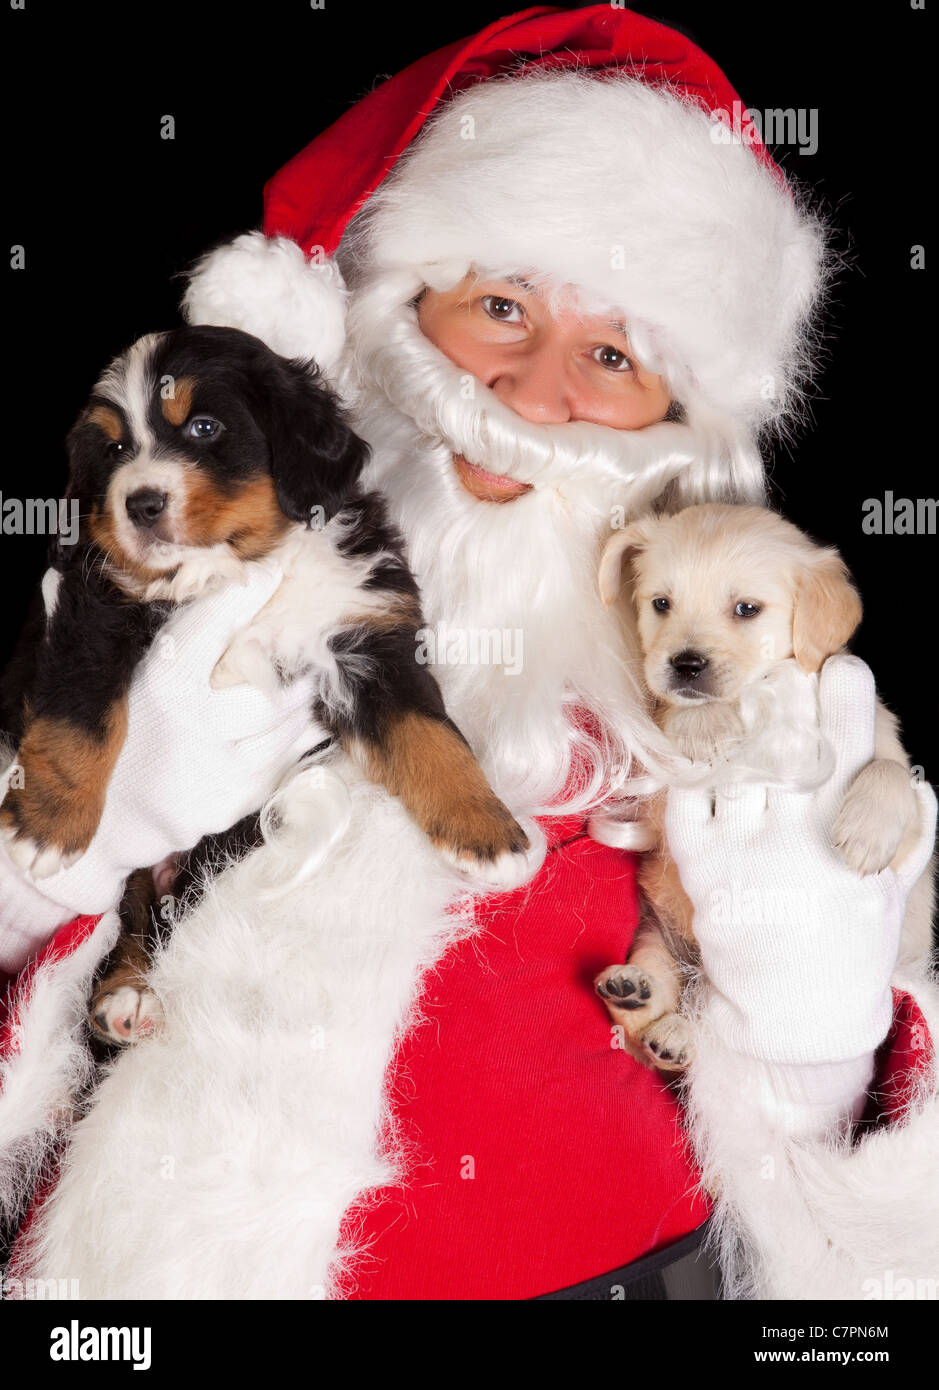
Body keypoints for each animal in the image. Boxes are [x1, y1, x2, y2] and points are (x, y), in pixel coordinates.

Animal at [0, 328, 527, 1045]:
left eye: (204, 427)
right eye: (112, 450)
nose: (139, 502)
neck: (242, 568)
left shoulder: (368, 636)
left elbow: (433, 738)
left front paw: (488, 832)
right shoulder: (92, 606)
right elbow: (79, 719)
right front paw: (47, 827)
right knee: (135, 909)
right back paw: (124, 994)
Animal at [594, 505, 933, 1067]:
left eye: (746, 609)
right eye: (661, 604)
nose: (685, 664)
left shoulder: (885, 749)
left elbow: (889, 774)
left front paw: (867, 831)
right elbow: (677, 717)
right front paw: (704, 725)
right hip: (654, 936)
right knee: (662, 1014)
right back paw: (640, 996)